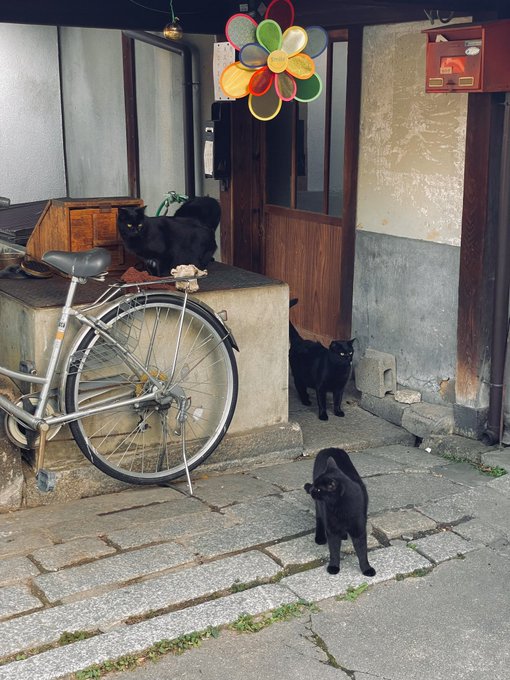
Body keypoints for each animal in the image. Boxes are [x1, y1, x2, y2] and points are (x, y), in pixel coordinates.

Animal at [304, 448, 376, 576]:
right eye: (315, 486)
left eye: (318, 489)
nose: (312, 490)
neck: (341, 509)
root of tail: (329, 448)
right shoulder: (332, 530)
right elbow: (334, 550)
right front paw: (333, 567)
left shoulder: (359, 530)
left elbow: (362, 551)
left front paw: (366, 569)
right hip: (319, 505)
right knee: (319, 519)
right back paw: (320, 538)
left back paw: (343, 535)